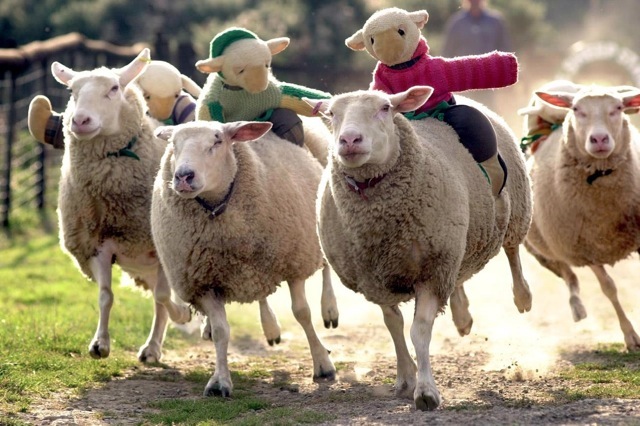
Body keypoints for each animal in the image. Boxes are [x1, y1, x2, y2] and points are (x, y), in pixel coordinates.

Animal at [53, 48, 191, 362]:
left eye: (114, 89)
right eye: (72, 91)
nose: (80, 121)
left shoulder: (160, 245)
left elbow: (163, 297)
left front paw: (183, 315)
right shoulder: (98, 242)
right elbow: (106, 295)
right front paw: (100, 344)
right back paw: (152, 348)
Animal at [150, 119, 336, 397]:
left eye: (217, 140)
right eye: (173, 143)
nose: (183, 176)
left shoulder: (293, 263)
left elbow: (302, 313)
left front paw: (323, 364)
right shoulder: (204, 281)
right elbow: (221, 332)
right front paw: (219, 382)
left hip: (315, 231)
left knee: (325, 268)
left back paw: (330, 308)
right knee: (261, 295)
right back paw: (268, 327)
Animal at [305, 86, 532, 411]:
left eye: (385, 108)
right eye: (332, 113)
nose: (349, 140)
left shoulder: (431, 272)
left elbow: (419, 330)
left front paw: (426, 392)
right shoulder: (376, 278)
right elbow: (394, 326)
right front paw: (405, 378)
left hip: (514, 210)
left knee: (513, 251)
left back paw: (522, 296)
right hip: (454, 240)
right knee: (459, 277)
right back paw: (462, 317)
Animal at [523, 84, 640, 352]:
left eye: (618, 107)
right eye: (577, 109)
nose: (599, 139)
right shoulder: (587, 249)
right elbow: (609, 289)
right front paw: (631, 337)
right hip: (546, 247)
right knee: (568, 274)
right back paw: (577, 308)